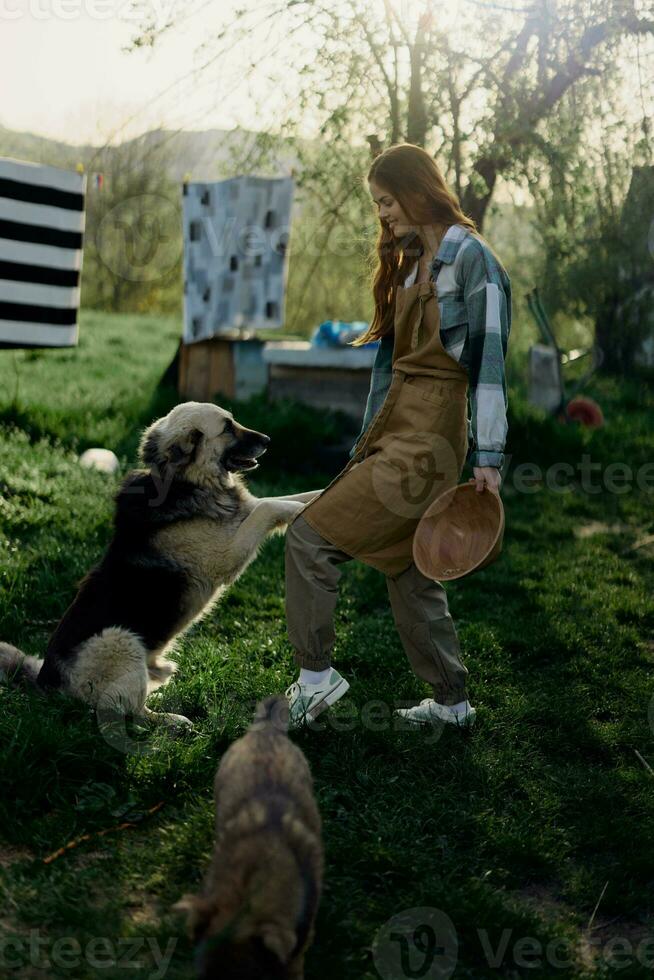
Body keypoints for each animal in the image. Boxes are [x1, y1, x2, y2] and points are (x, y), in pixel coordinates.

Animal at [0, 398, 320, 728]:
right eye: (227, 427)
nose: (268, 440)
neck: (183, 481)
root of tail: (45, 686)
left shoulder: (242, 515)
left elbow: (284, 498)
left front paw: (321, 494)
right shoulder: (226, 554)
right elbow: (269, 505)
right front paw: (299, 510)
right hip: (121, 639)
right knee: (128, 713)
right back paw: (172, 721)